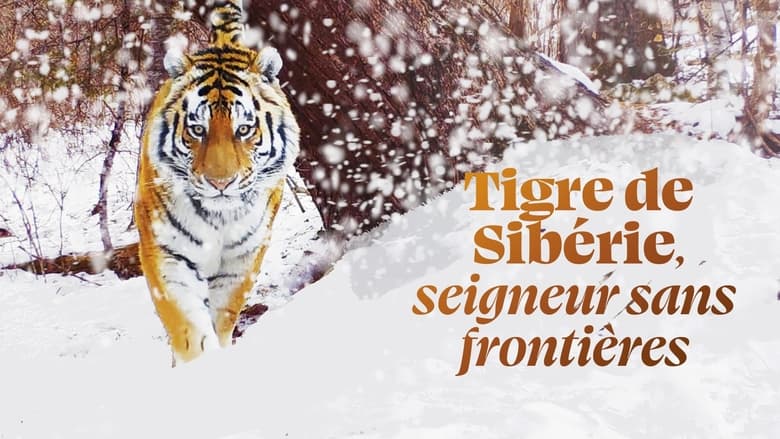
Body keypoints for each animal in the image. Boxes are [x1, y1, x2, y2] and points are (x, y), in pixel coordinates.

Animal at [134, 0, 300, 364]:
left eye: (244, 129)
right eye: (197, 129)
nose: (220, 182)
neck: (220, 217)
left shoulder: (243, 258)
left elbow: (224, 314)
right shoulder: (165, 251)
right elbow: (187, 325)